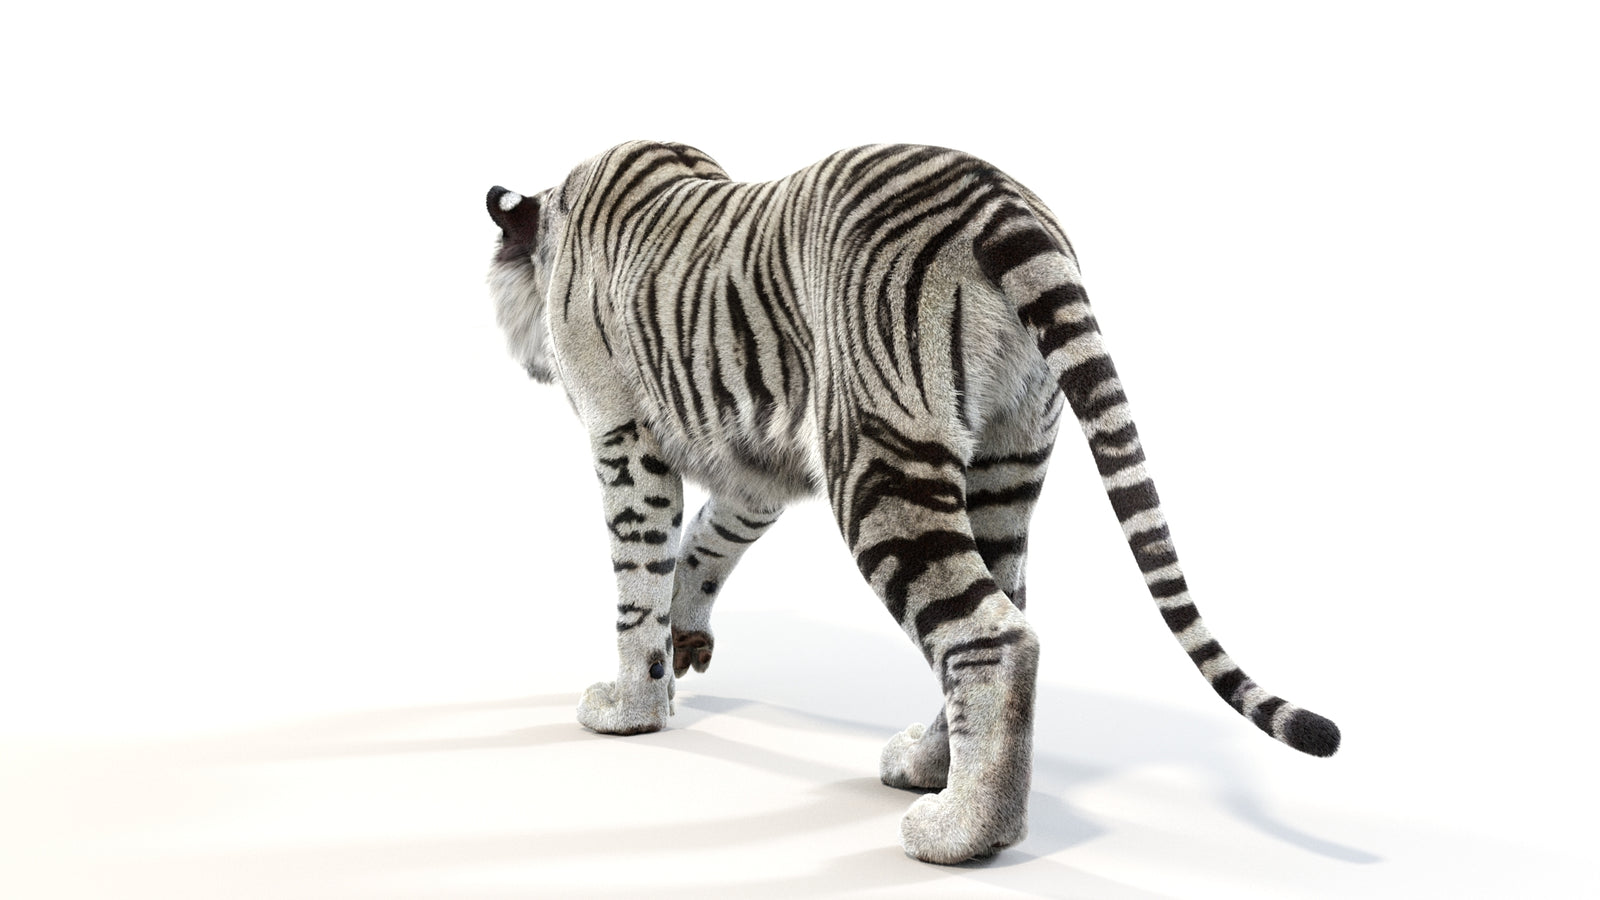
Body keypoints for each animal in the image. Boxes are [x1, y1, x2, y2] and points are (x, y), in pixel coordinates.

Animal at [484, 141, 1339, 864]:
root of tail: (1000, 202)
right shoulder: (758, 474)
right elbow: (701, 546)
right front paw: (684, 644)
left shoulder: (625, 437)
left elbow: (639, 577)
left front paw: (630, 706)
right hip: (1003, 464)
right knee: (1005, 610)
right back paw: (933, 766)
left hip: (877, 461)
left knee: (993, 633)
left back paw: (964, 831)